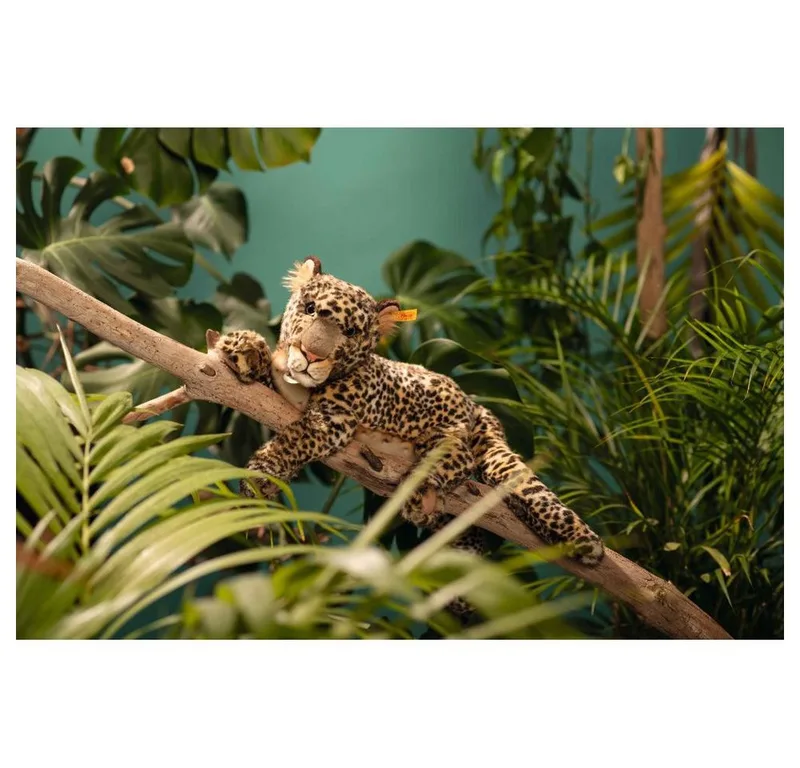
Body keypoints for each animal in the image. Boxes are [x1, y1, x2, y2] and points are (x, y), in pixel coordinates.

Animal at [214, 256, 605, 589]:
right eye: (309, 309)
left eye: (351, 332)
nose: (312, 355)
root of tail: (477, 405)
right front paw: (244, 347)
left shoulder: (335, 420)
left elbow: (294, 441)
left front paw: (260, 476)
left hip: (461, 438)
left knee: (477, 465)